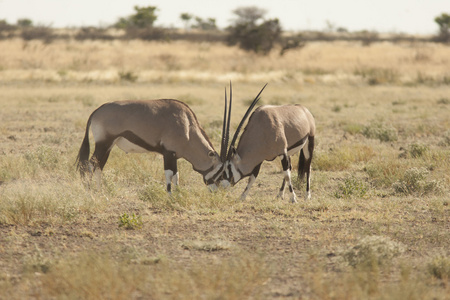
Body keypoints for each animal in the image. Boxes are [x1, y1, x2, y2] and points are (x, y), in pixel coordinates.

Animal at [76, 98, 229, 192]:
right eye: (222, 170)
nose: (221, 189)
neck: (188, 126)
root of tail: (97, 111)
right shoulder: (168, 153)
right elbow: (169, 176)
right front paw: (170, 197)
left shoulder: (174, 156)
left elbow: (176, 176)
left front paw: (179, 194)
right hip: (103, 143)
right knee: (91, 165)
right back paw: (91, 191)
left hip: (108, 146)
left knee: (98, 166)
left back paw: (100, 191)